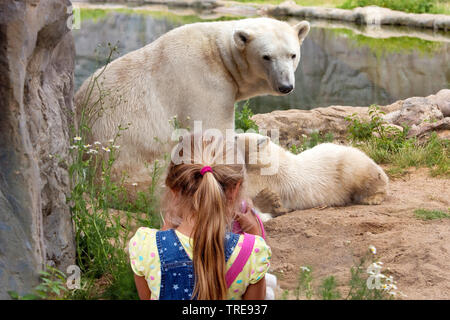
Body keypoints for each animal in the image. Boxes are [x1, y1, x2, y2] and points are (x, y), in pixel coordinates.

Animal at [75, 17, 312, 186]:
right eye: (266, 57)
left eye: (292, 55)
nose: (285, 85)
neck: (220, 56)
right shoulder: (204, 84)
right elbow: (213, 132)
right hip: (132, 163)